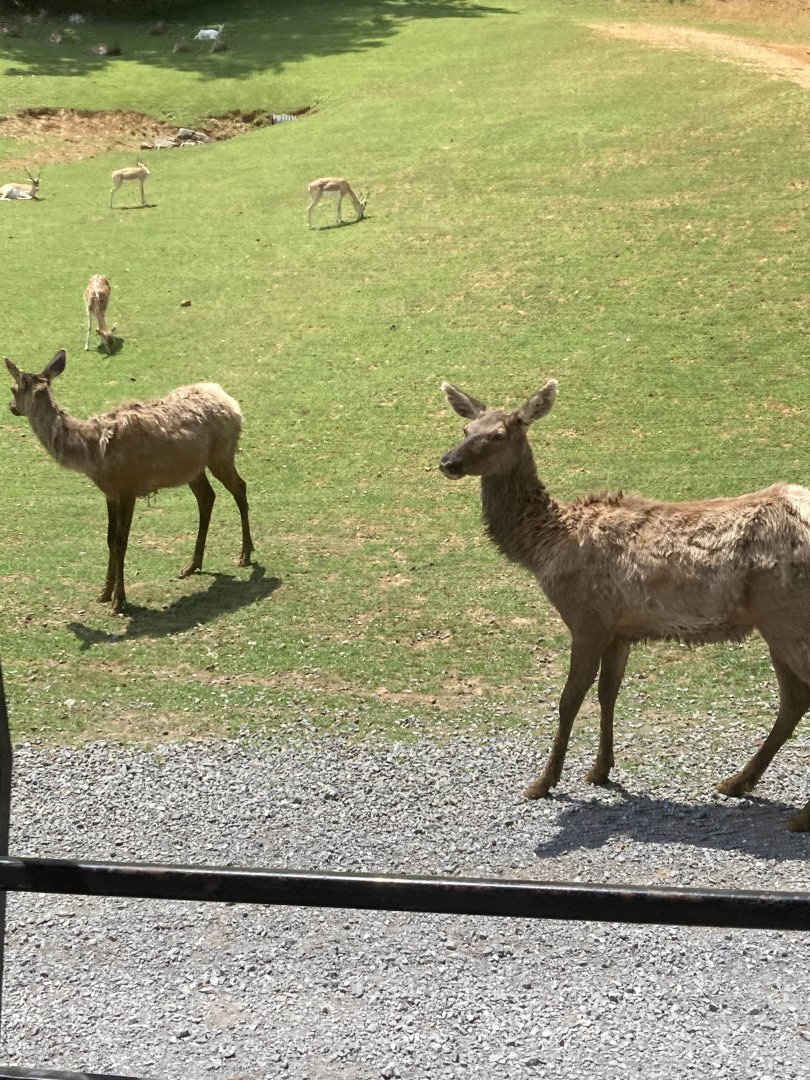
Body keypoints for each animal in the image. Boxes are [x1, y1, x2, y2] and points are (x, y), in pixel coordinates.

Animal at [5, 350, 254, 615]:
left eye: (12, 388)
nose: (11, 407)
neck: (92, 452)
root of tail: (229, 399)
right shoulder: (110, 492)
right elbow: (109, 539)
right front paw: (104, 593)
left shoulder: (129, 486)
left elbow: (121, 541)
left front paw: (118, 600)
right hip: (193, 468)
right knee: (207, 497)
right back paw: (192, 565)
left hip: (222, 453)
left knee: (240, 487)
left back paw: (245, 555)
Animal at [439, 378, 810, 831]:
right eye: (465, 429)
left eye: (498, 434)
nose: (448, 462)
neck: (547, 548)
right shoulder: (620, 629)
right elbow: (608, 694)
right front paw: (600, 771)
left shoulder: (587, 619)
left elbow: (568, 699)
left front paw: (542, 783)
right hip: (776, 627)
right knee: (794, 701)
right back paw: (736, 783)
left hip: (787, 618)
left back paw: (799, 816)